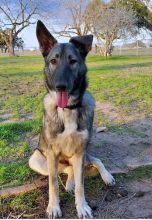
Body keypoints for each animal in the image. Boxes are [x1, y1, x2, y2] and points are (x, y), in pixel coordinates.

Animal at [28, 20, 115, 218]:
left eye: (73, 61)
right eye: (53, 61)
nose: (60, 86)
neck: (67, 109)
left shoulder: (81, 151)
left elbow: (82, 185)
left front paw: (82, 207)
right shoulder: (52, 154)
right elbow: (53, 184)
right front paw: (53, 207)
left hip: (82, 153)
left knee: (94, 161)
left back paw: (106, 177)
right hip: (37, 159)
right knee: (66, 169)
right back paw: (69, 183)